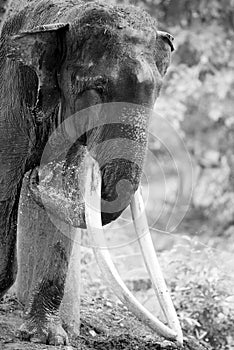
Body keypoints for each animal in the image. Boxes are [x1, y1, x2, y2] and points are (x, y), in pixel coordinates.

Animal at [0, 0, 174, 344]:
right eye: (97, 87)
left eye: (157, 90)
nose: (36, 179)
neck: (61, 16)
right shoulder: (9, 96)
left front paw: (47, 337)